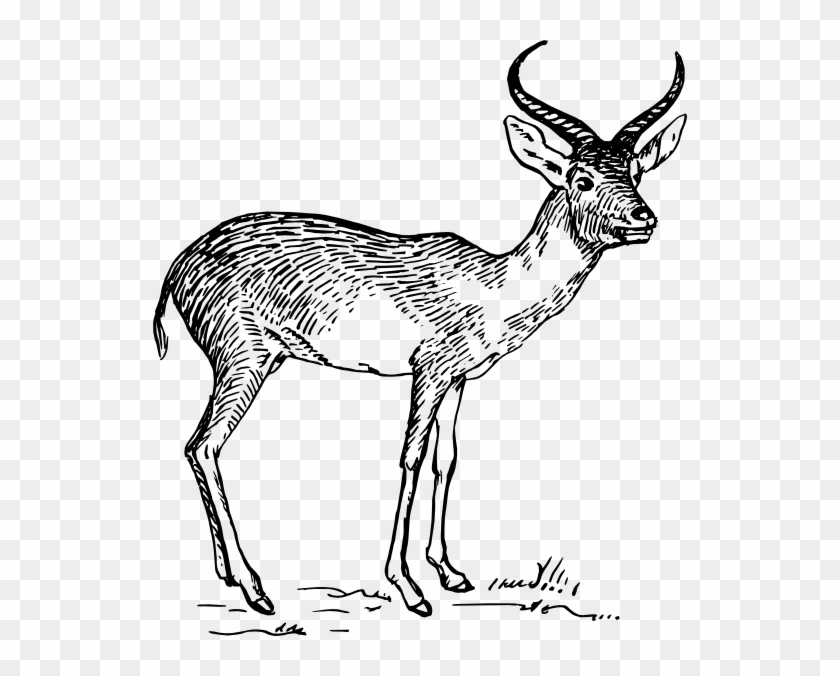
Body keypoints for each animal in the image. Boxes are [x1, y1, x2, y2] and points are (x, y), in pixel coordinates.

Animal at [153, 41, 686, 617]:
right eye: (580, 178)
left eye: (634, 172)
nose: (643, 219)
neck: (491, 285)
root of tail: (179, 264)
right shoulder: (425, 373)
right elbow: (409, 459)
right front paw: (408, 588)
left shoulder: (459, 380)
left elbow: (445, 460)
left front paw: (451, 573)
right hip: (244, 359)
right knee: (205, 445)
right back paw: (257, 591)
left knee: (196, 447)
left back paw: (228, 575)